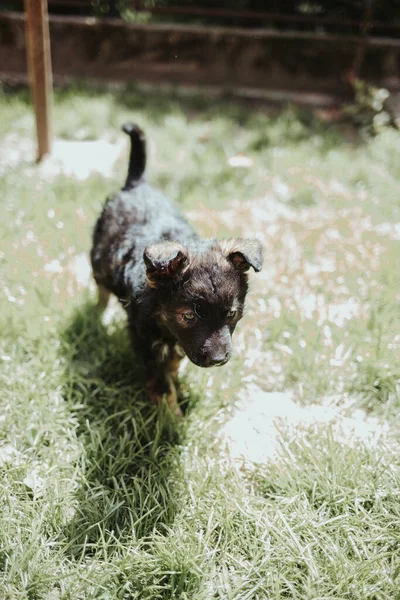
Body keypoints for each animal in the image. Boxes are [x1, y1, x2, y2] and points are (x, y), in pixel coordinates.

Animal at [90, 124, 262, 414]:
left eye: (231, 314)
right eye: (189, 316)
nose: (218, 359)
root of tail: (136, 184)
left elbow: (173, 361)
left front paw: (176, 382)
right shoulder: (144, 340)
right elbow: (160, 383)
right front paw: (171, 416)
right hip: (98, 260)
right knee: (101, 290)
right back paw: (97, 315)